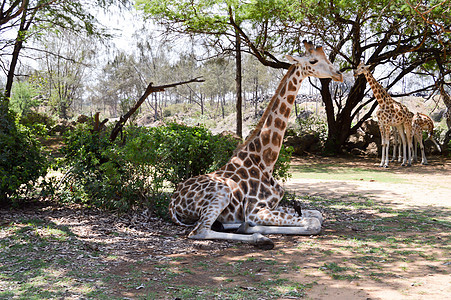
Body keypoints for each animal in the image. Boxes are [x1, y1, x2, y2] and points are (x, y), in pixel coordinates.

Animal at [169, 41, 342, 250]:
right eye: (313, 61)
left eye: (328, 58)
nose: (339, 74)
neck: (266, 162)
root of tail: (172, 202)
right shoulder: (256, 210)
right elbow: (313, 223)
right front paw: (252, 229)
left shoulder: (272, 206)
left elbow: (317, 214)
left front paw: (246, 226)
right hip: (221, 192)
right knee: (199, 231)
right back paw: (259, 238)